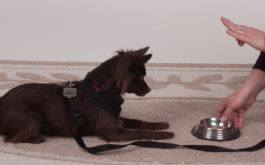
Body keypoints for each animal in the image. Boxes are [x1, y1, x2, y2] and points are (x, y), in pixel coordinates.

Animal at [0, 46, 173, 143]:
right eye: (140, 77)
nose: (149, 90)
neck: (102, 91)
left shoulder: (116, 119)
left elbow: (138, 122)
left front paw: (160, 125)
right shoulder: (110, 132)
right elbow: (140, 132)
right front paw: (166, 135)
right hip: (30, 113)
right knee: (11, 138)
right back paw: (36, 138)